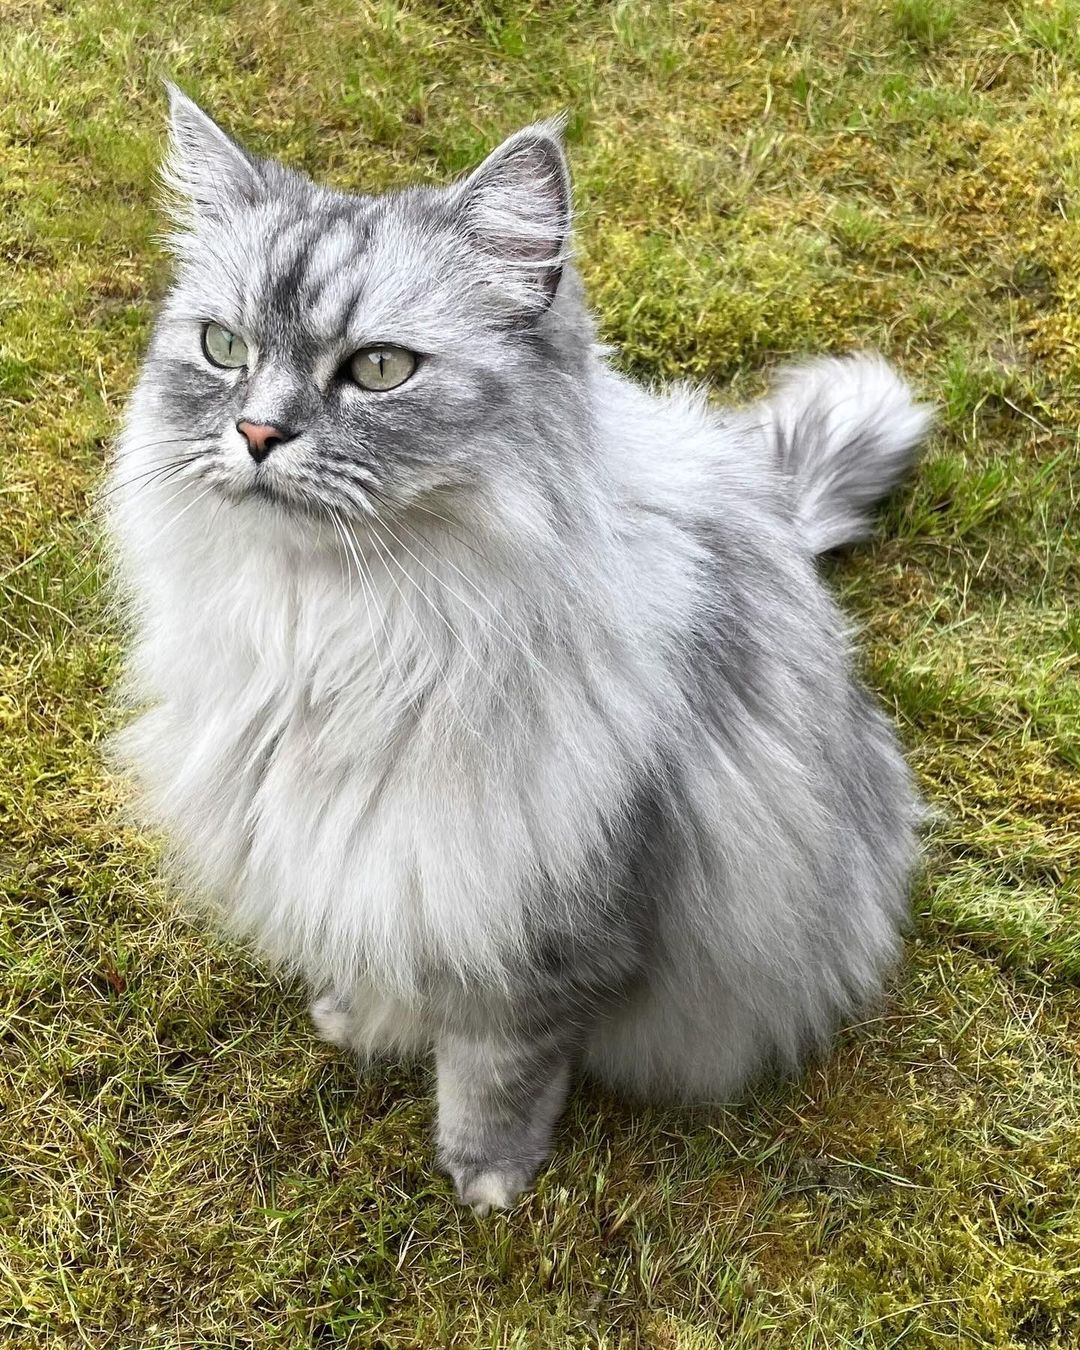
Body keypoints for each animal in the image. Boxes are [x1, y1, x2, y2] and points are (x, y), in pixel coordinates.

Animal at [107, 89, 928, 1220]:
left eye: (379, 368)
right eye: (224, 347)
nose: (258, 433)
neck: (343, 634)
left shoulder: (549, 924)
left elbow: (499, 1066)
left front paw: (488, 1175)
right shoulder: (378, 865)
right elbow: (384, 961)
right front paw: (359, 1017)